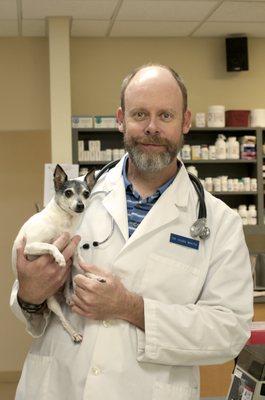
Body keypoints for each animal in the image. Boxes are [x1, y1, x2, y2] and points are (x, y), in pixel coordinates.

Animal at [12, 164, 97, 342]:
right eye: (68, 193)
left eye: (86, 194)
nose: (81, 205)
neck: (65, 221)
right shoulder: (31, 246)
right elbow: (52, 247)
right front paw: (59, 258)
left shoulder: (75, 258)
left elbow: (84, 266)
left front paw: (95, 276)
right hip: (52, 303)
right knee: (63, 320)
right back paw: (73, 332)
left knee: (70, 284)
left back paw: (73, 294)